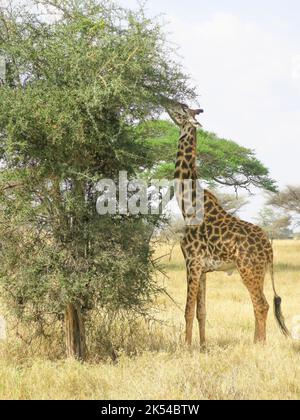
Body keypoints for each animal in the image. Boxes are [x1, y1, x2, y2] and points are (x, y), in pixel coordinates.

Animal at [163, 99, 290, 348]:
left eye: (181, 108)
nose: (163, 100)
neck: (188, 206)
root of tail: (269, 250)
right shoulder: (203, 268)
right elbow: (201, 311)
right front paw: (203, 347)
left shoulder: (191, 262)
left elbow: (187, 310)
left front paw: (186, 347)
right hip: (257, 271)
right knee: (259, 304)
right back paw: (256, 341)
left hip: (248, 269)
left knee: (262, 304)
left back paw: (259, 345)